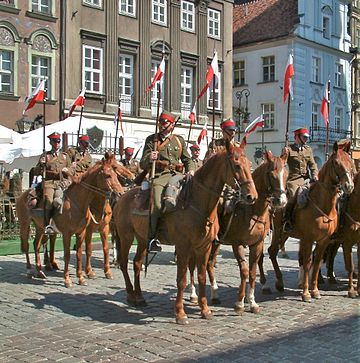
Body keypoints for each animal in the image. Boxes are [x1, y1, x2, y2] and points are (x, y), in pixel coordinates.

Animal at [16, 153, 123, 288]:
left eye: (116, 174)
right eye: (108, 175)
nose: (121, 193)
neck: (77, 203)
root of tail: (23, 195)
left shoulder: (86, 231)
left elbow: (82, 252)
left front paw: (82, 278)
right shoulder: (68, 233)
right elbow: (68, 254)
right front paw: (68, 279)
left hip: (39, 227)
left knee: (36, 245)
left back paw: (40, 272)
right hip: (24, 224)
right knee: (26, 245)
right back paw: (30, 270)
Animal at [114, 141, 258, 326]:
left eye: (249, 164)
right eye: (237, 165)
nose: (252, 196)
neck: (197, 202)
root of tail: (123, 196)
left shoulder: (204, 247)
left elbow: (202, 276)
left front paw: (205, 310)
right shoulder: (183, 247)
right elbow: (181, 280)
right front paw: (180, 313)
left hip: (142, 239)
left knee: (137, 264)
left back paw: (139, 297)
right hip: (126, 237)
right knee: (124, 263)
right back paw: (131, 295)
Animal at [188, 151, 286, 316]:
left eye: (286, 174)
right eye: (271, 174)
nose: (282, 201)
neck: (252, 210)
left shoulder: (257, 244)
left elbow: (252, 271)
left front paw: (252, 302)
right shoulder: (237, 244)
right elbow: (244, 271)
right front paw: (240, 303)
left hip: (216, 243)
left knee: (209, 263)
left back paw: (215, 293)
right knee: (192, 264)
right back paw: (194, 295)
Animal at [266, 144, 352, 302]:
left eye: (350, 161)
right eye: (336, 162)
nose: (349, 186)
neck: (323, 205)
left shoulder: (324, 240)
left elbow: (317, 262)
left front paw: (315, 290)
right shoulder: (308, 239)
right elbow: (307, 262)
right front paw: (306, 293)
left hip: (285, 234)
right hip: (277, 230)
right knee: (272, 251)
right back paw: (279, 283)